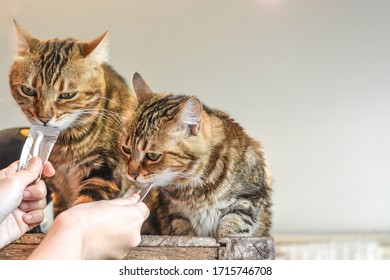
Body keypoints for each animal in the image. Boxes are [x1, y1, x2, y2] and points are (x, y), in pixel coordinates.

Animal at [8, 21, 136, 217]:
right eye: (28, 90)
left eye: (67, 95)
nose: (44, 118)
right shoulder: (58, 188)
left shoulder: (105, 173)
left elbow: (85, 205)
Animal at [120, 72, 272, 238]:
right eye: (126, 150)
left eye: (153, 156)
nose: (131, 174)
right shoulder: (174, 212)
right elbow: (184, 231)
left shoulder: (249, 197)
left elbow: (235, 224)